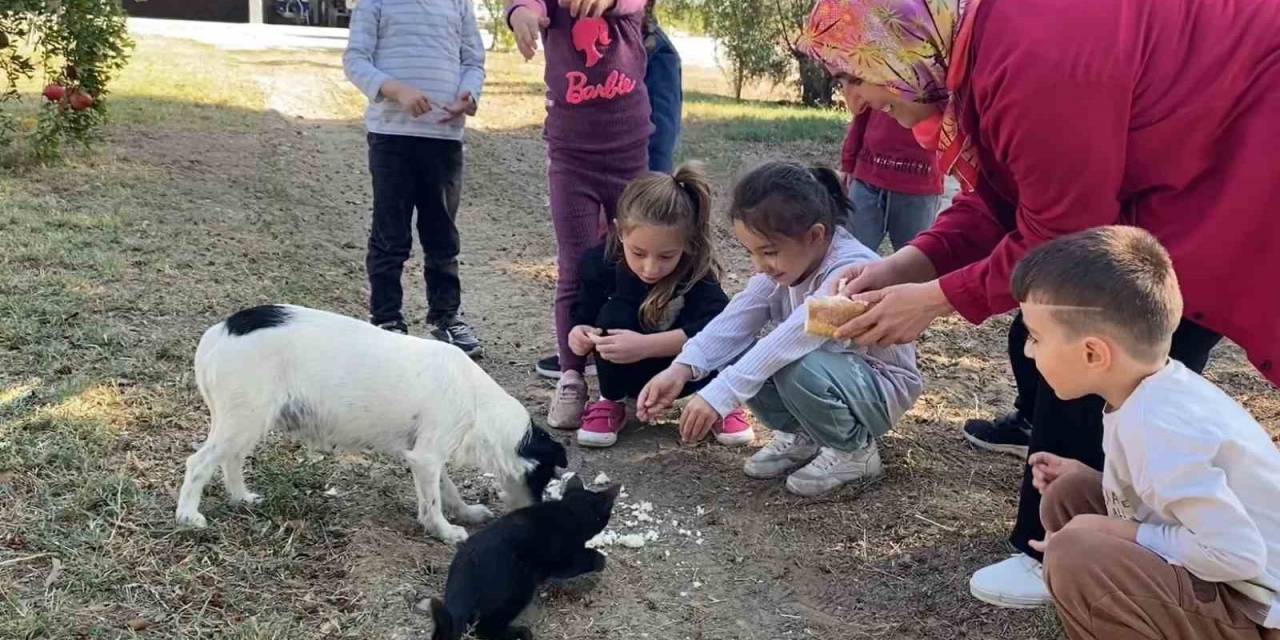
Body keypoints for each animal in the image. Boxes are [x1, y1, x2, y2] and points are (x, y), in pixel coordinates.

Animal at [175, 302, 565, 542]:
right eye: (545, 476)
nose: (539, 517)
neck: (478, 401)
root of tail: (219, 331)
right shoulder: (426, 458)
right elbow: (433, 502)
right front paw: (444, 530)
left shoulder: (427, 455)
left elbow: (448, 490)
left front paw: (465, 512)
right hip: (244, 419)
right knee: (198, 463)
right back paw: (188, 516)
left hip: (246, 422)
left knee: (230, 459)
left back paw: (241, 498)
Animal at [430, 476, 619, 640]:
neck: (569, 511)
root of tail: (465, 563)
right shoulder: (563, 560)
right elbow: (581, 560)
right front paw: (600, 560)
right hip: (519, 588)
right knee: (485, 627)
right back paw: (519, 633)